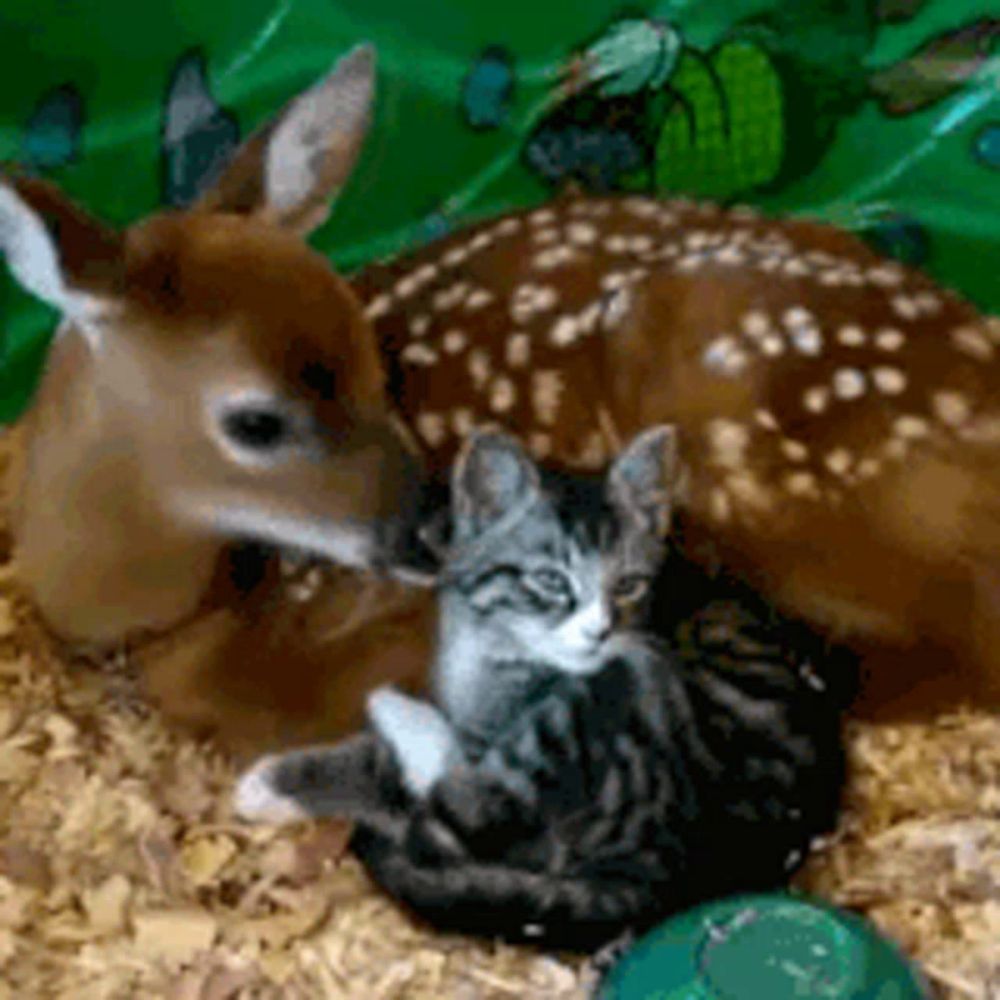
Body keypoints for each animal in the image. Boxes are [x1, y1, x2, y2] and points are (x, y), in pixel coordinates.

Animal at [236, 424, 852, 952]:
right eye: (551, 581)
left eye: (628, 586)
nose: (601, 631)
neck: (492, 648)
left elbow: (415, 786)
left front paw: (283, 778)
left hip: (607, 704)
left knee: (449, 826)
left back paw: (399, 716)